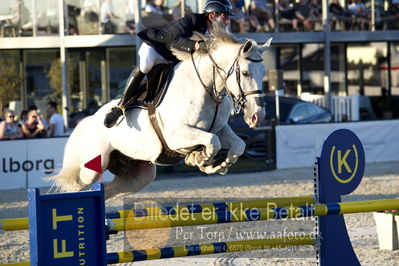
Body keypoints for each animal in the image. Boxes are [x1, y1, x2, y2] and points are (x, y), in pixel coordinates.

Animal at [50, 26, 272, 197]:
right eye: (245, 73)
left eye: (264, 73)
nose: (257, 115)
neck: (207, 88)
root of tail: (89, 120)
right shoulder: (176, 136)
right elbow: (212, 142)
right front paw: (201, 160)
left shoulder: (219, 128)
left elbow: (237, 145)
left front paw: (215, 164)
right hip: (92, 167)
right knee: (77, 186)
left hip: (138, 176)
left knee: (108, 191)